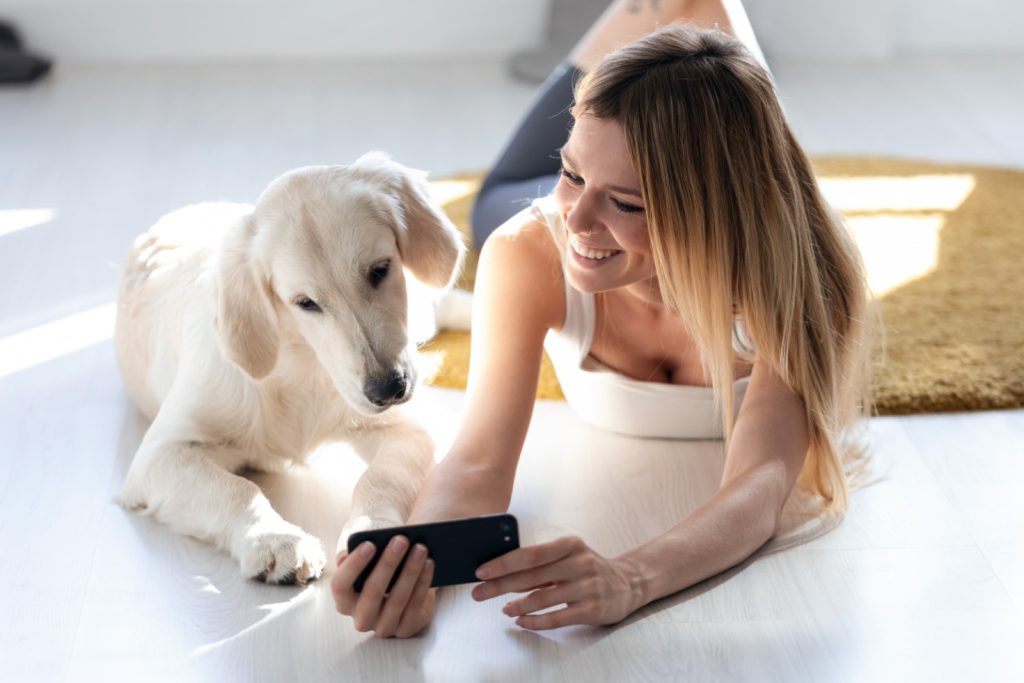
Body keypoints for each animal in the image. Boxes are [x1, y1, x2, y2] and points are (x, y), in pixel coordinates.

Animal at [115, 152, 464, 585]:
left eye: (380, 269)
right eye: (305, 303)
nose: (389, 390)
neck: (303, 366)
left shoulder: (408, 428)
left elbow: (379, 479)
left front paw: (374, 533)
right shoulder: (160, 454)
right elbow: (237, 489)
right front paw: (275, 539)